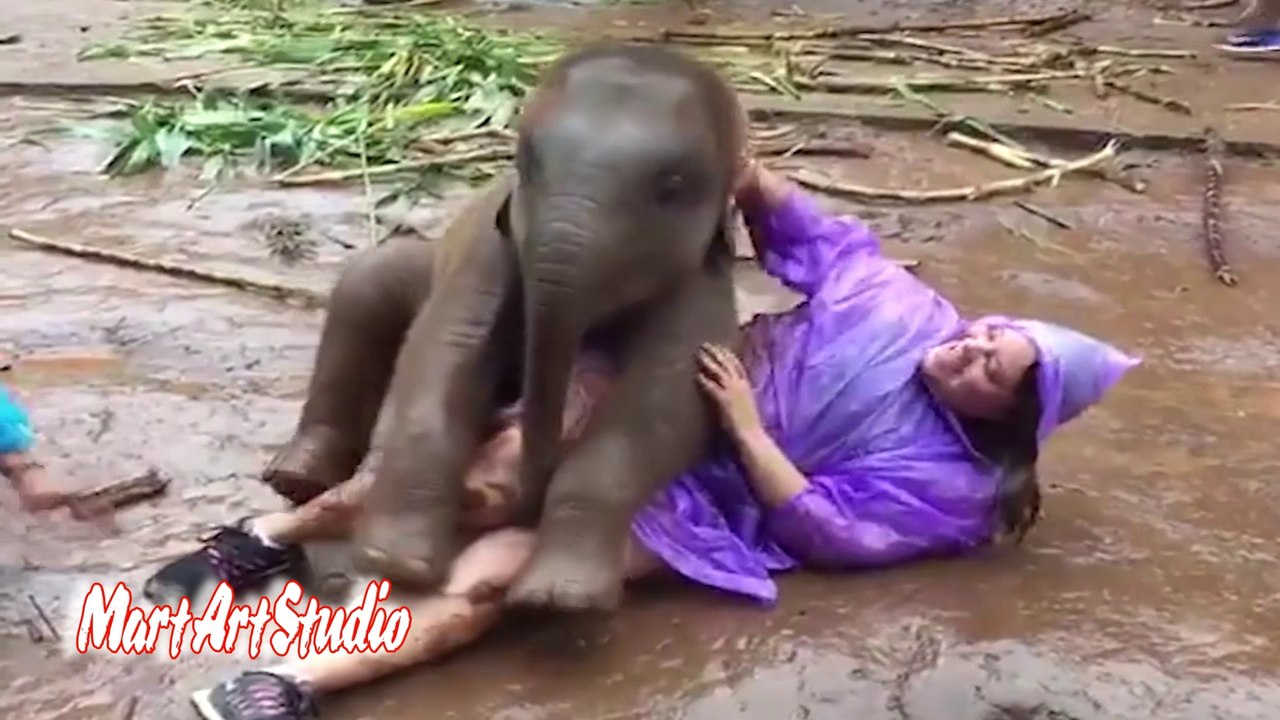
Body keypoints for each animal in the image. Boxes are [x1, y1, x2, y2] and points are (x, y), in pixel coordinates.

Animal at [264, 43, 746, 612]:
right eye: (529, 164)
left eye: (670, 188)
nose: (515, 496)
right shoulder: (486, 254)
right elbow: (446, 351)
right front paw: (396, 563)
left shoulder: (704, 288)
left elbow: (662, 405)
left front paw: (560, 599)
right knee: (367, 283)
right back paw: (297, 477)